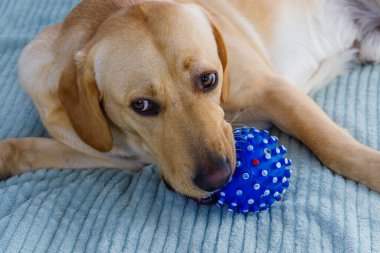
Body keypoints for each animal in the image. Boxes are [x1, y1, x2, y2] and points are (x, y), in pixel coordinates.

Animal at [0, 0, 380, 202]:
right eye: (141, 106)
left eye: (208, 79)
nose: (218, 179)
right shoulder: (113, 155)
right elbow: (25, 148)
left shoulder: (272, 90)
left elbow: (333, 147)